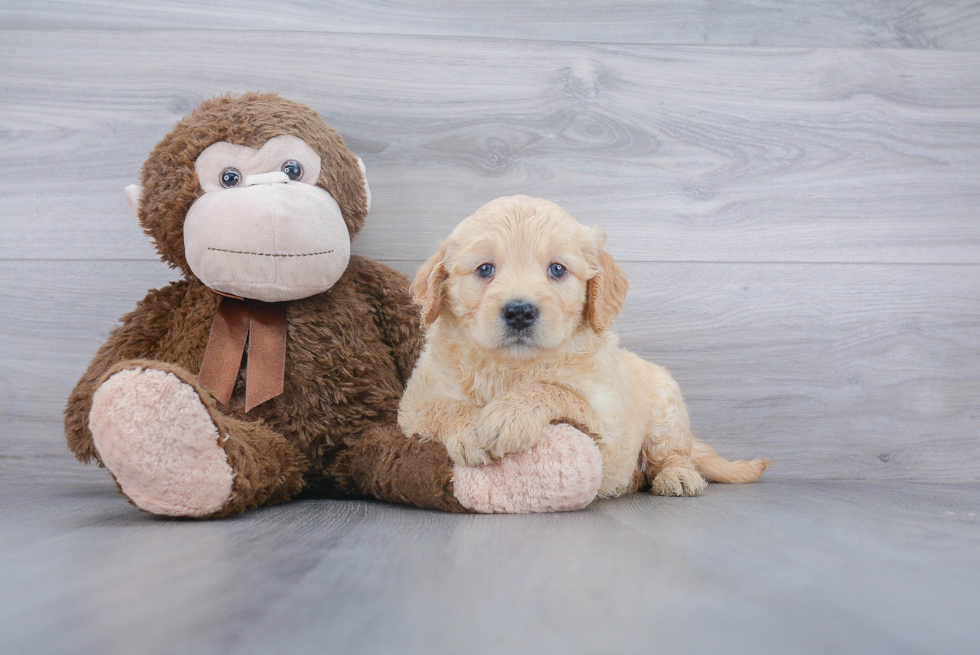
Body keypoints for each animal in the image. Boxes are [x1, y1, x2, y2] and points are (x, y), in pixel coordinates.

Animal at [396, 195, 764, 498]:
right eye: (485, 268)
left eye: (557, 269)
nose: (520, 311)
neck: (512, 366)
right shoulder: (413, 405)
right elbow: (443, 407)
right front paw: (471, 429)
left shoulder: (607, 422)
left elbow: (556, 389)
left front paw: (508, 416)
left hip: (666, 408)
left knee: (671, 453)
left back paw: (677, 475)